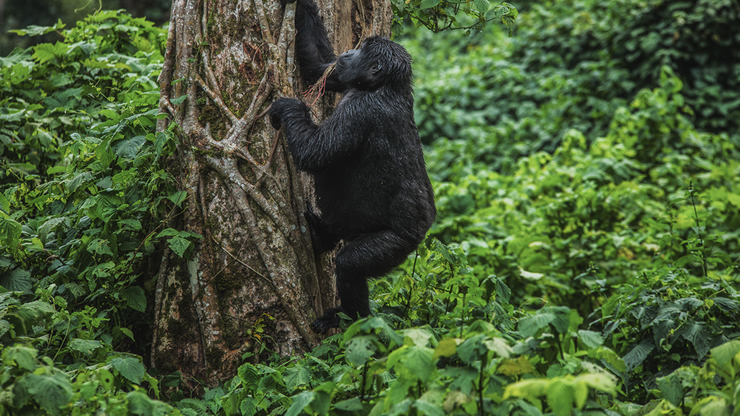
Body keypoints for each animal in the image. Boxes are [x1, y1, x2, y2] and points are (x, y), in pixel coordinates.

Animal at [270, 0, 434, 334]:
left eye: (363, 51)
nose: (349, 52)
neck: (383, 86)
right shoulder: (340, 76)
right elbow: (320, 66)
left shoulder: (359, 112)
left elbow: (316, 152)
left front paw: (288, 107)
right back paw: (323, 235)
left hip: (395, 244)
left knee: (351, 264)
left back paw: (349, 317)